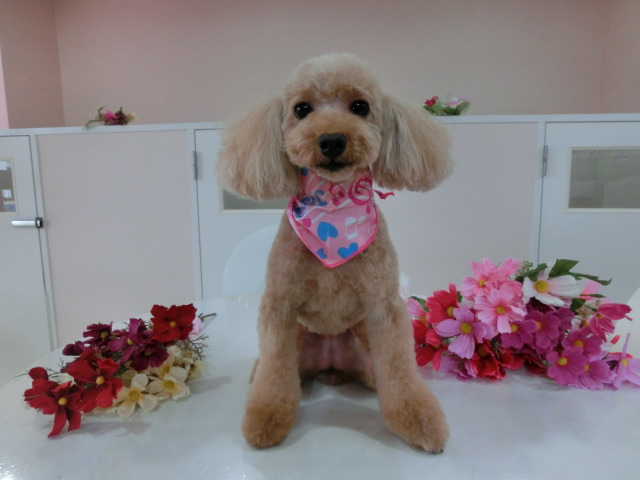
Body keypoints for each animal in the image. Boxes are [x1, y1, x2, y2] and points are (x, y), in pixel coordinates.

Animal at [217, 53, 452, 453]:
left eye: (360, 107)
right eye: (301, 109)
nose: (331, 140)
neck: (334, 208)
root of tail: (331, 364)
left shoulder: (383, 306)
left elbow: (401, 371)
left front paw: (419, 421)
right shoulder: (279, 305)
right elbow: (274, 375)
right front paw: (266, 418)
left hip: (364, 351)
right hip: (299, 345)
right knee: (272, 366)